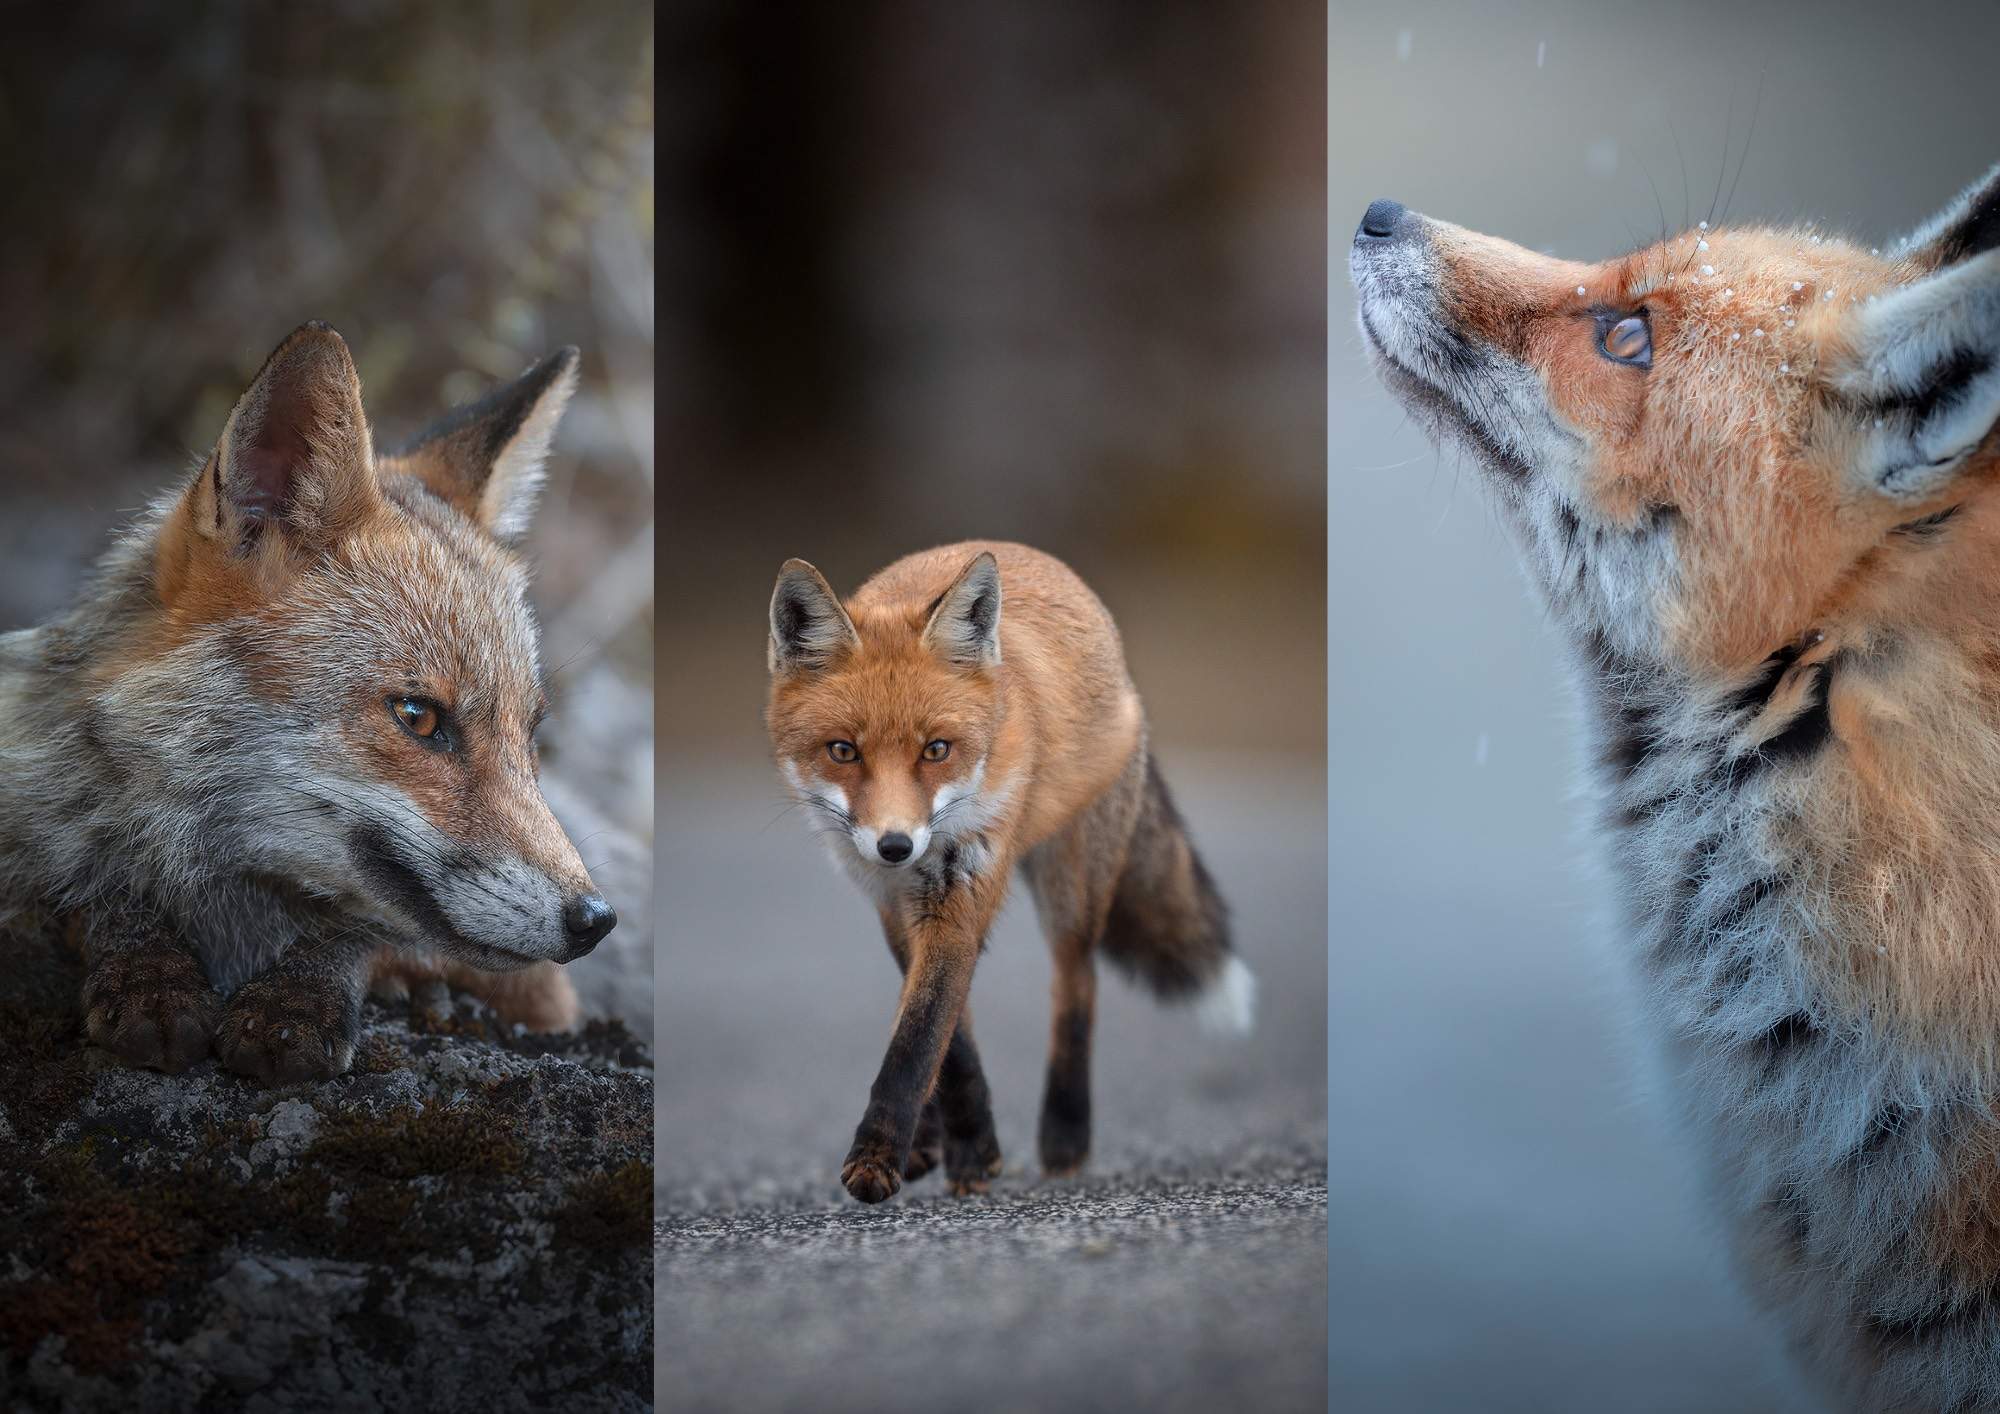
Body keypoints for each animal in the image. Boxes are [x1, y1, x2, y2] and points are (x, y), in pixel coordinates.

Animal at [0, 321, 617, 1086]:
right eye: (418, 717)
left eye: (531, 734)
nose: (594, 920)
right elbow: (91, 895)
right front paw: (148, 972)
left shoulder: (548, 997)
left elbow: (369, 933)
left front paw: (299, 999)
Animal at [766, 542, 1252, 1203]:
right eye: (843, 751)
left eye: (936, 750)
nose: (895, 845)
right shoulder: (892, 901)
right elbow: (946, 1038)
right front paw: (963, 1144)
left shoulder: (964, 885)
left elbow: (918, 1039)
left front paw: (888, 1157)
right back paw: (936, 1142)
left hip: (1072, 887)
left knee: (1078, 985)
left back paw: (1066, 1136)